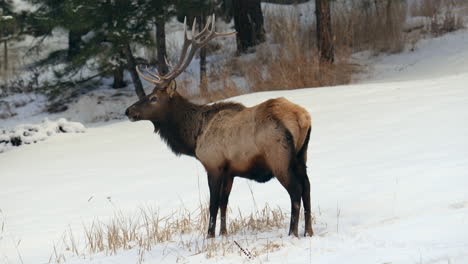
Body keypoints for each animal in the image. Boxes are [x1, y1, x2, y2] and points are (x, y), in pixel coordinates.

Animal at [126, 14, 312, 237]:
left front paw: (209, 235)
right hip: (302, 154)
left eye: (153, 98)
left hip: (279, 157)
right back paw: (308, 231)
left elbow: (213, 204)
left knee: (296, 191)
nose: (128, 111)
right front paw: (223, 233)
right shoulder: (229, 170)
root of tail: (302, 117)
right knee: (308, 187)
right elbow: (224, 202)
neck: (194, 136)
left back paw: (292, 232)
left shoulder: (213, 164)